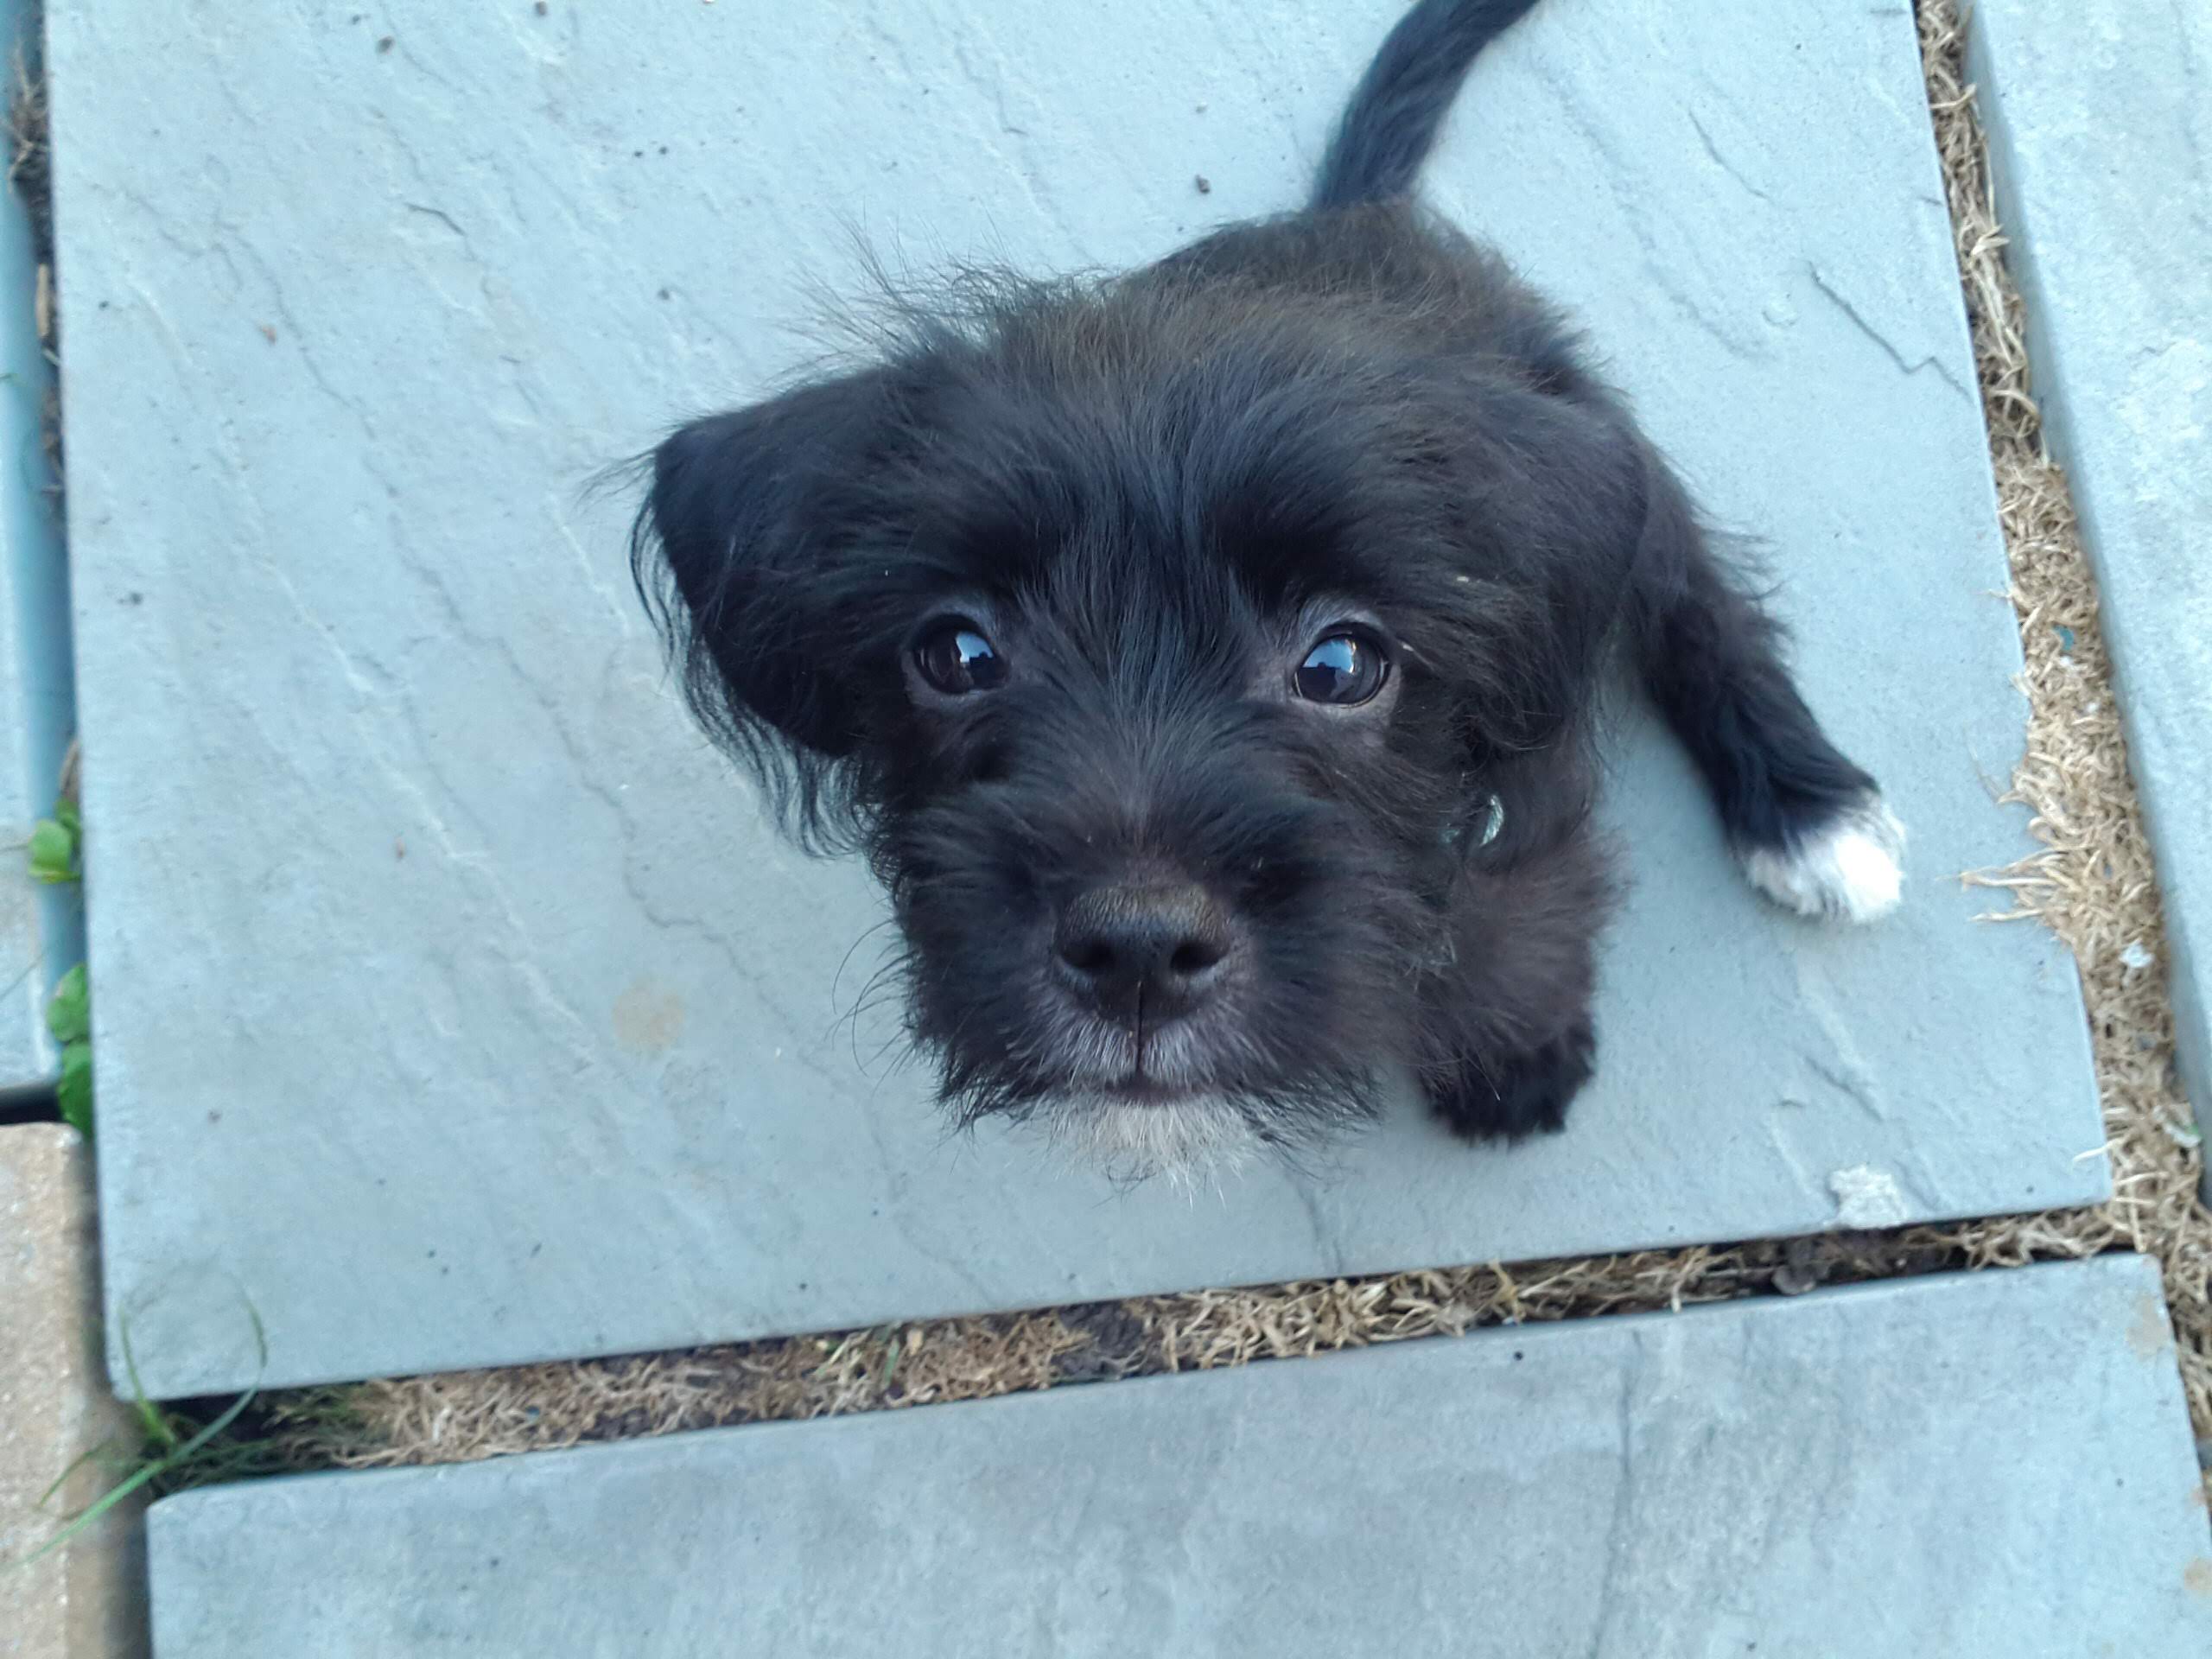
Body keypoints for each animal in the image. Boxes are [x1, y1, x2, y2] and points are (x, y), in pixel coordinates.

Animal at [628, 0, 1905, 1177]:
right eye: (955, 654)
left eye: (1340, 664)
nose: (1138, 953)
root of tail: (1357, 220)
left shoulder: (1519, 818)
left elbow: (1514, 928)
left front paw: (1514, 1055)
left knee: (1701, 601)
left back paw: (1808, 811)